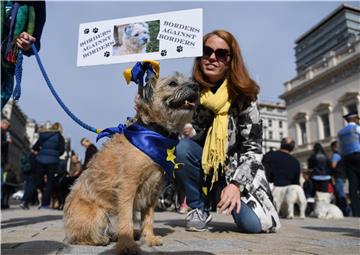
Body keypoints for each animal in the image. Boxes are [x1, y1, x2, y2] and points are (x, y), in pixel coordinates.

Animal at [62, 66, 197, 254]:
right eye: (172, 83)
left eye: (189, 80)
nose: (196, 86)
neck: (154, 132)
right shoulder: (128, 187)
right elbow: (126, 219)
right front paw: (128, 245)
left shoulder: (154, 190)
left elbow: (148, 218)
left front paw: (149, 238)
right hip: (99, 213)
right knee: (80, 237)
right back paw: (102, 239)